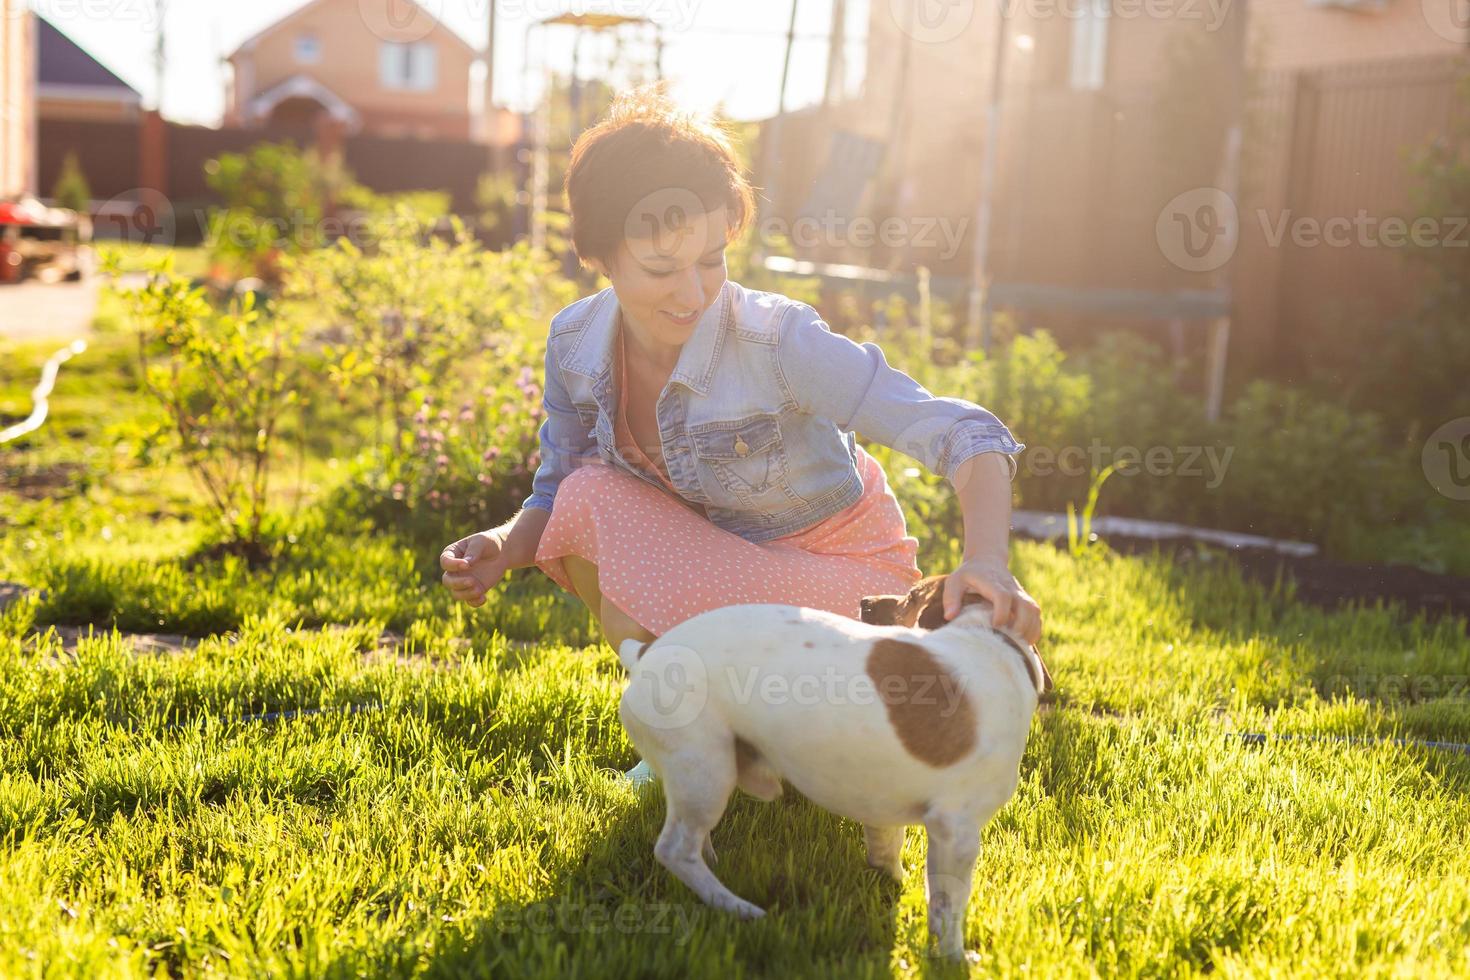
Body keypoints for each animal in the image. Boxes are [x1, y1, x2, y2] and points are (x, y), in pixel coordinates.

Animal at [614, 575, 1052, 957]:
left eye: (911, 598)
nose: (866, 601)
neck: (990, 642)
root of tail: (646, 653)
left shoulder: (885, 804)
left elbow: (887, 848)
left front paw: (894, 880)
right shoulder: (956, 831)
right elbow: (947, 906)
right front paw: (952, 957)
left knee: (693, 836)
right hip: (706, 768)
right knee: (675, 849)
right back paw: (737, 907)